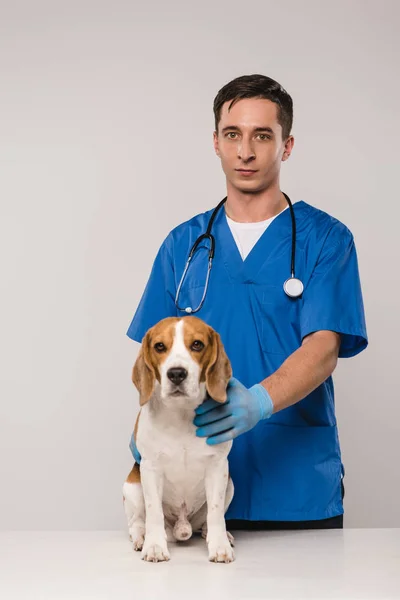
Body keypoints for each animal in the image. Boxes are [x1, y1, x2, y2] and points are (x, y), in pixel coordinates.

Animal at [121, 318, 234, 564]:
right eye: (160, 346)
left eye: (197, 344)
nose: (176, 374)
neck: (181, 414)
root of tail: (181, 527)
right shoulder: (150, 468)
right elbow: (154, 511)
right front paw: (154, 547)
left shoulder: (218, 466)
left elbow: (215, 512)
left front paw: (220, 545)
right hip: (132, 487)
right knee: (136, 522)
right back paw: (141, 538)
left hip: (230, 484)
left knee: (208, 520)